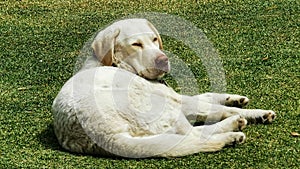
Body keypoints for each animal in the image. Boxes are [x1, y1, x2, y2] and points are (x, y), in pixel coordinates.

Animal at [52, 19, 276, 158]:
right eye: (136, 44)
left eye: (154, 39)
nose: (163, 60)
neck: (118, 65)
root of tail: (106, 136)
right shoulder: (177, 100)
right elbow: (217, 107)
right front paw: (257, 113)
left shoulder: (178, 96)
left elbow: (209, 95)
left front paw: (234, 97)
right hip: (161, 108)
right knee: (193, 134)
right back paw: (233, 129)